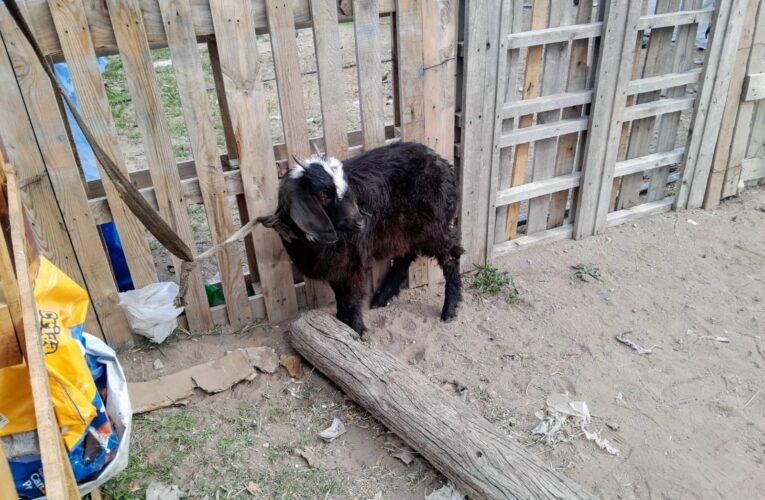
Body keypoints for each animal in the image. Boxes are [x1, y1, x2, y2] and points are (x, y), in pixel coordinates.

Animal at [260, 141, 463, 336]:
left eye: (346, 188)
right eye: (322, 194)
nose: (360, 222)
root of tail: (442, 163)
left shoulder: (353, 260)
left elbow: (351, 297)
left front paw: (356, 329)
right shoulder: (335, 264)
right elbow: (339, 295)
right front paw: (341, 323)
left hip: (435, 226)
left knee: (451, 255)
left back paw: (449, 310)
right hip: (405, 229)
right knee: (406, 255)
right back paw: (382, 297)